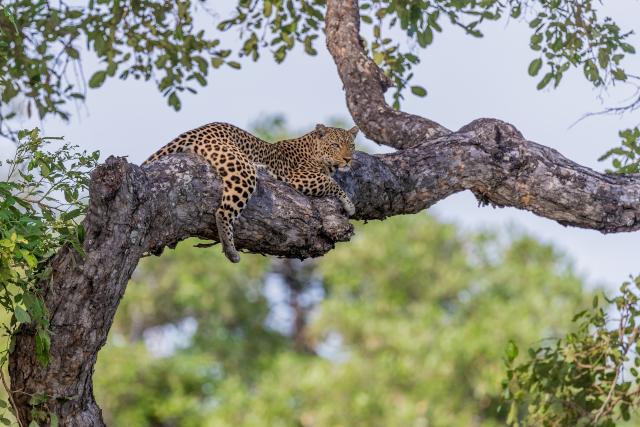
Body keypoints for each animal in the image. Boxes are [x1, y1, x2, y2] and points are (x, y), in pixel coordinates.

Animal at [142, 121, 358, 264]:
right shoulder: (299, 177)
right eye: (335, 145)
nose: (348, 159)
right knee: (222, 212)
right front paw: (349, 204)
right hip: (241, 169)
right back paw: (231, 251)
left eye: (351, 145)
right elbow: (331, 182)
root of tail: (197, 130)